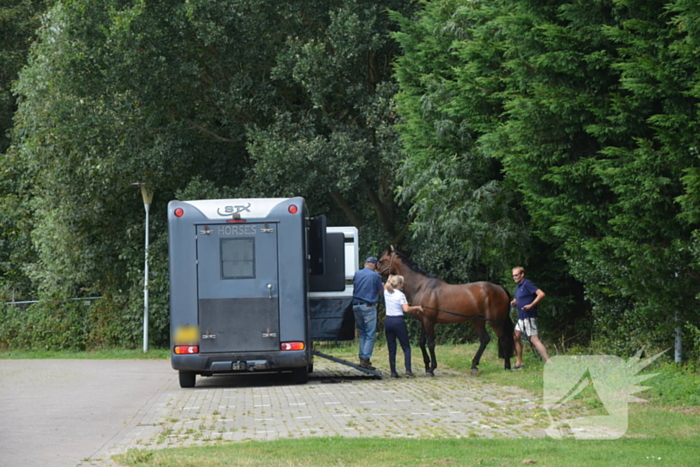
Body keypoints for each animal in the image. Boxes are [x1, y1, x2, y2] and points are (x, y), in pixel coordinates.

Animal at [378, 249, 516, 376]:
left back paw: (507, 367)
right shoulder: (423, 321)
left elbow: (431, 343)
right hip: (478, 321)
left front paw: (432, 369)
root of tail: (500, 288)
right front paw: (427, 366)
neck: (422, 287)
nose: (376, 273)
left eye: (381, 260)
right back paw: (474, 366)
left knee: (504, 339)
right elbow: (422, 343)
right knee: (484, 339)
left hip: (495, 322)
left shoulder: (429, 321)